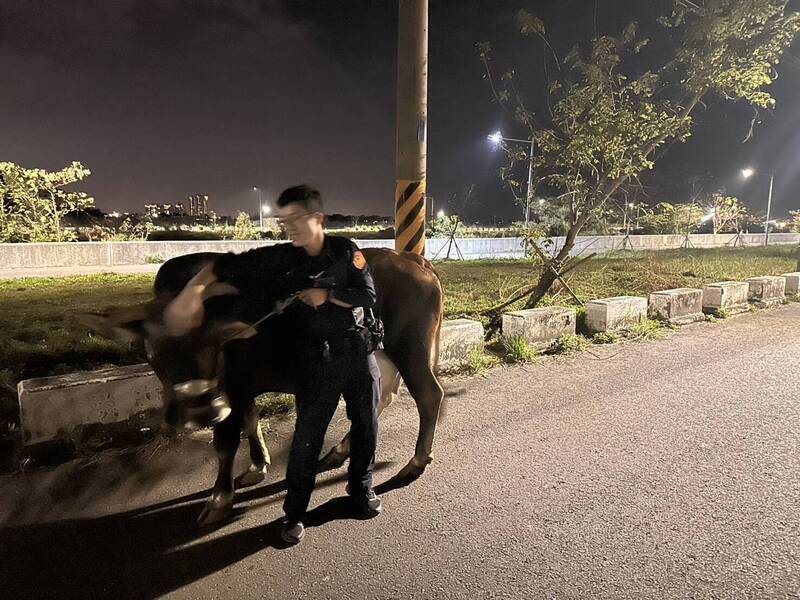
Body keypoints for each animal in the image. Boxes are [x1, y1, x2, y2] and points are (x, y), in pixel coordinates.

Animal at [84, 246, 446, 524]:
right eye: (153, 352)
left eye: (212, 346)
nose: (200, 413)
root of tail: (412, 258)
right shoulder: (238, 389)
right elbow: (251, 419)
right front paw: (258, 465)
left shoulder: (231, 389)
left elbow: (226, 443)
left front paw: (219, 499)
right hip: (380, 353)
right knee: (381, 397)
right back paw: (341, 449)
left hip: (409, 349)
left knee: (429, 395)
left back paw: (416, 462)